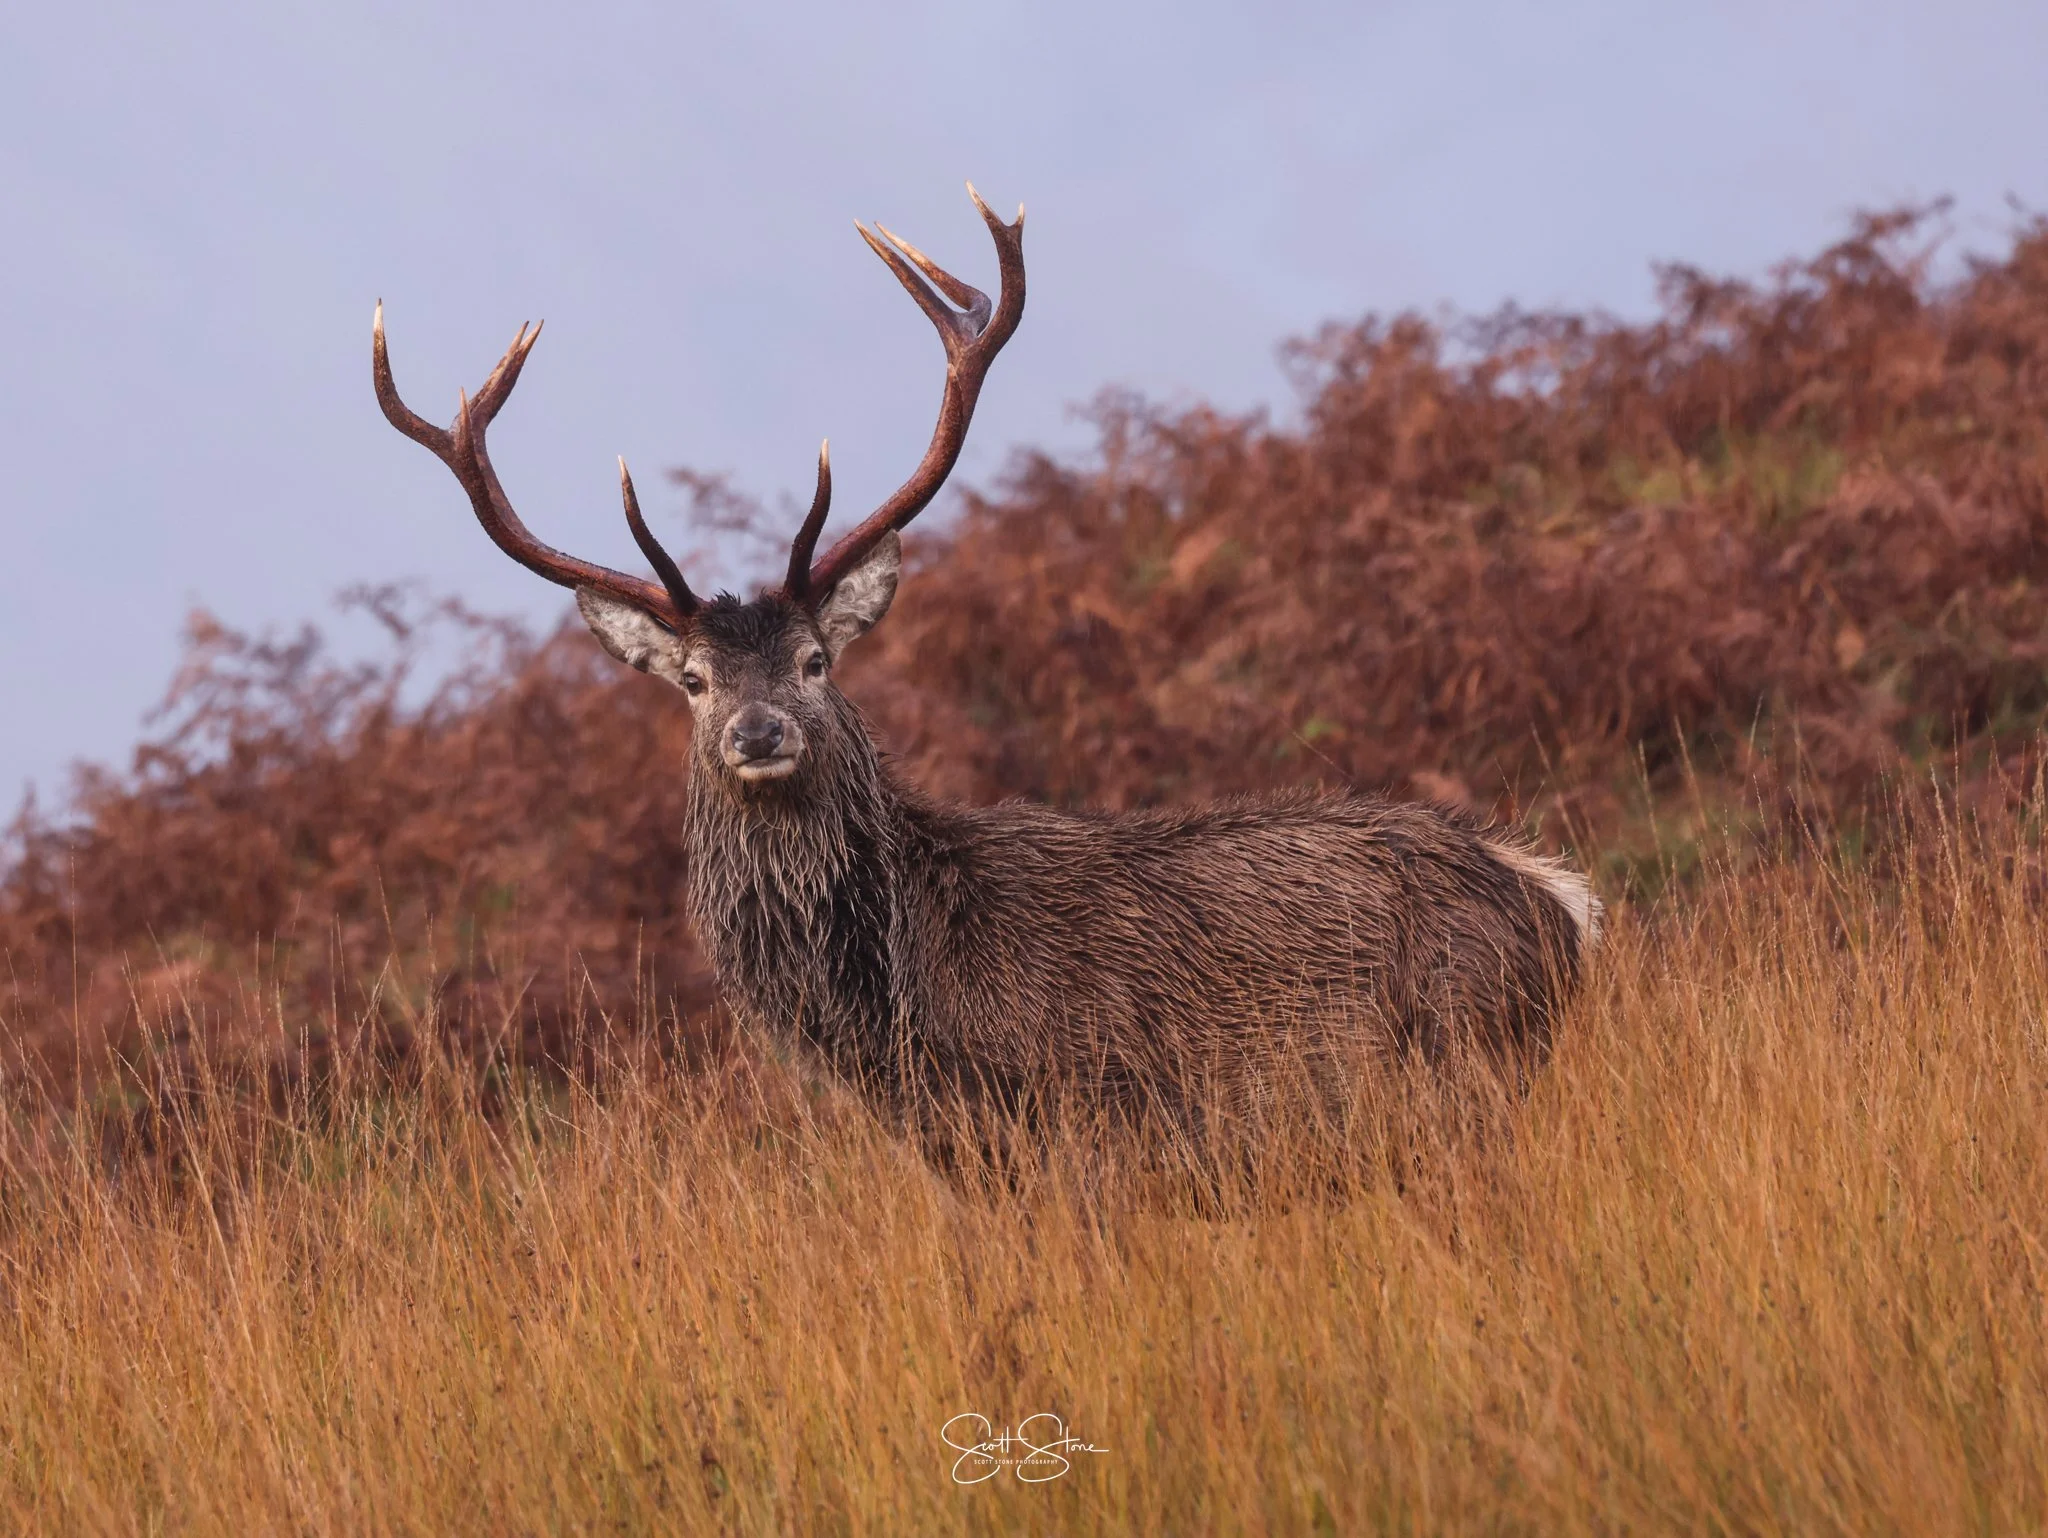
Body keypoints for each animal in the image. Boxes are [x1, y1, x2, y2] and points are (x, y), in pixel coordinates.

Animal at [372, 184, 1602, 1153]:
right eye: (692, 682)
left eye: (815, 660)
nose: (758, 732)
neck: (900, 1016)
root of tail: (1559, 904)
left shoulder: (1089, 1121)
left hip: (1454, 1066)